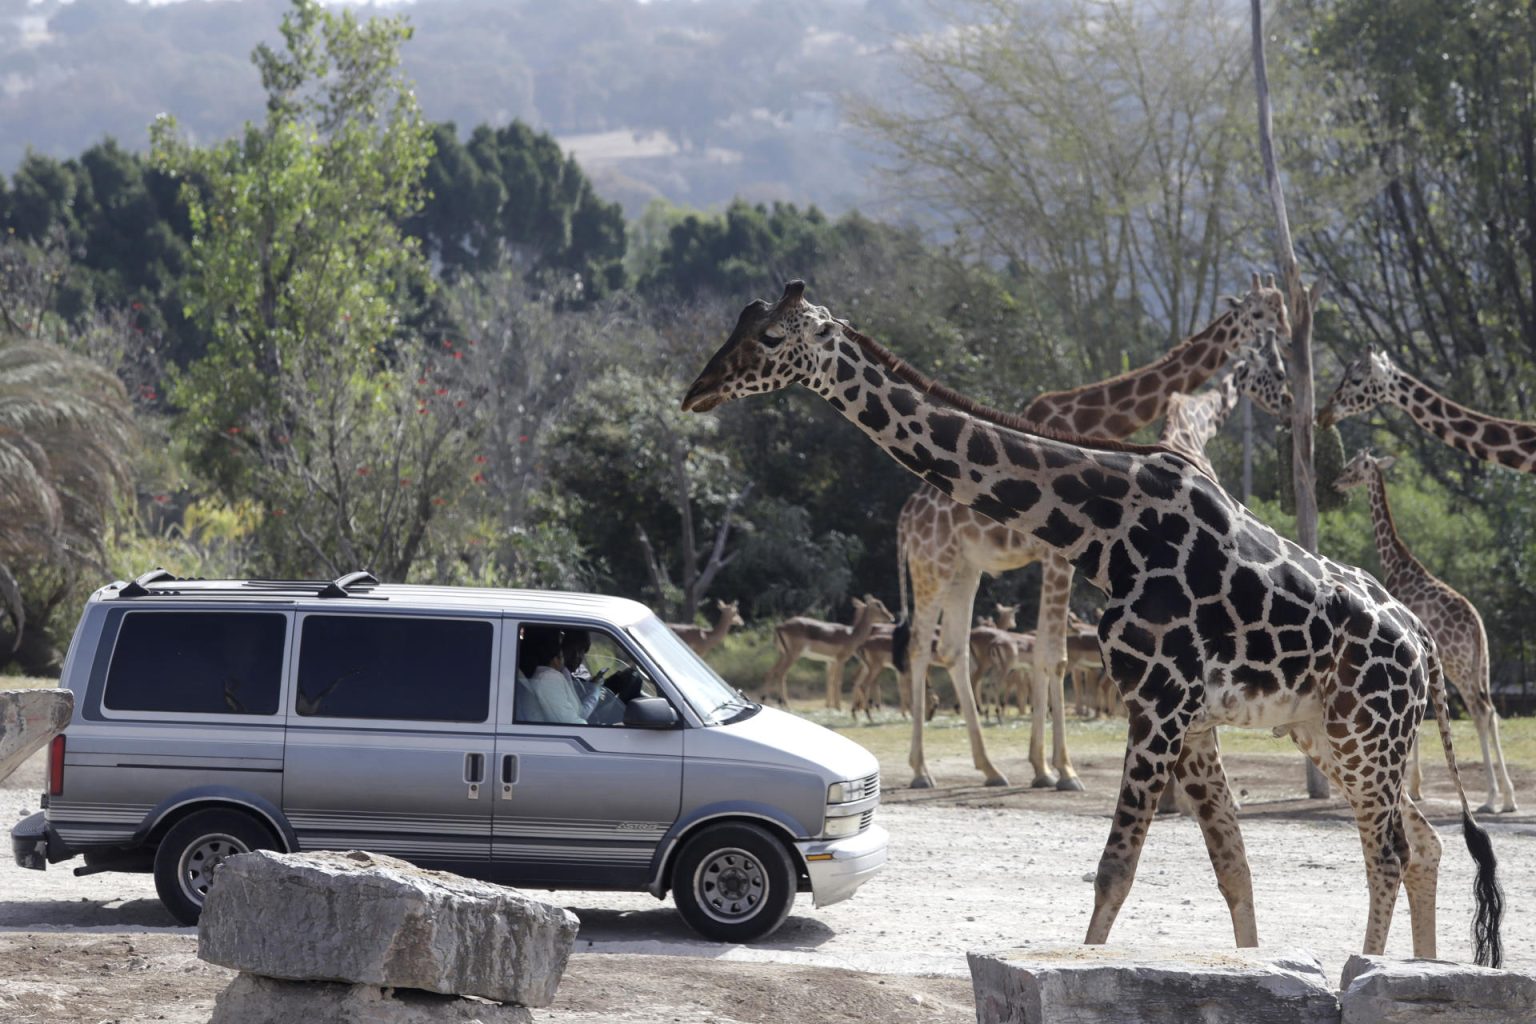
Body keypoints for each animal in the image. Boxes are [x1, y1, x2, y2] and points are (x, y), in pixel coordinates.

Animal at [890, 276, 1296, 792]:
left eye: (1281, 312)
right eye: (1264, 316)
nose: (1290, 401)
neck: (1093, 421)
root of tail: (905, 520)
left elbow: (1050, 654)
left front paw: (1042, 766)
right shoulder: (1056, 558)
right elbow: (1054, 656)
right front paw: (1060, 770)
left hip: (966, 568)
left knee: (952, 649)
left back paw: (990, 767)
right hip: (932, 564)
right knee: (920, 646)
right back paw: (921, 769)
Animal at [1339, 451, 1517, 816]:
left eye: (1351, 467)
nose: (1336, 482)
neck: (1397, 563)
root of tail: (1477, 627)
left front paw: (1413, 786)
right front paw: (1413, 785)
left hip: (1458, 666)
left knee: (1480, 712)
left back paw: (1491, 798)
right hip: (1480, 666)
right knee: (1491, 711)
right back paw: (1507, 797)